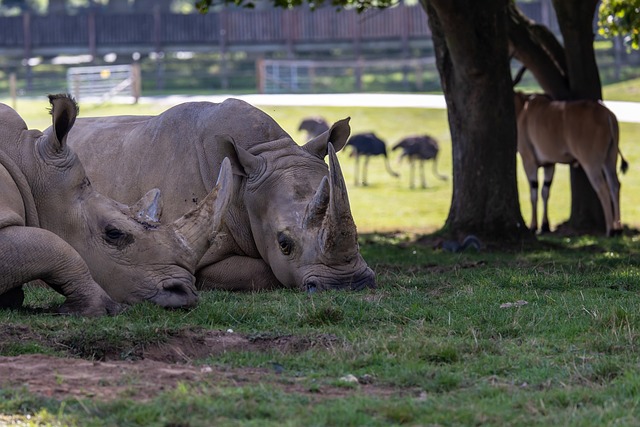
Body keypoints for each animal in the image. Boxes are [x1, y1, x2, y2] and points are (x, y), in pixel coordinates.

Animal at [512, 92, 628, 237]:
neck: (523, 109)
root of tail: (607, 115)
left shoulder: (529, 161)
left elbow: (534, 193)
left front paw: (533, 227)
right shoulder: (549, 164)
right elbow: (545, 191)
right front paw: (545, 226)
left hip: (591, 163)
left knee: (603, 188)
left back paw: (610, 230)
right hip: (610, 159)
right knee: (615, 185)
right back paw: (618, 228)